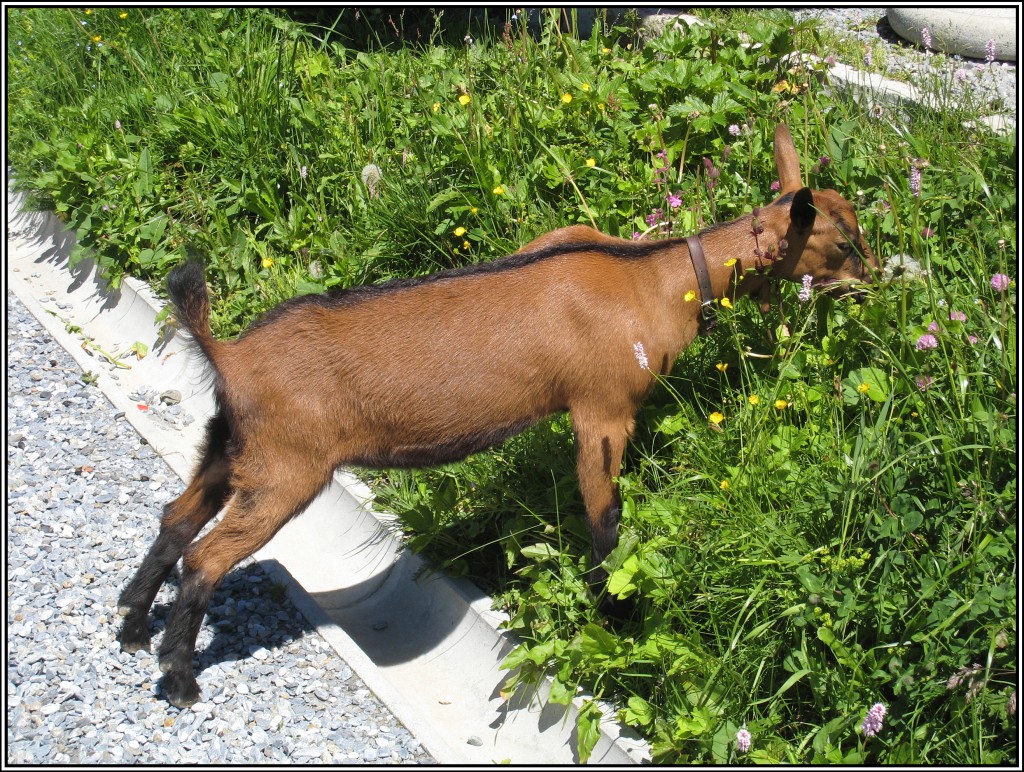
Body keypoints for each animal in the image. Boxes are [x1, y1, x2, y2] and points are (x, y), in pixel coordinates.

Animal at [117, 124, 872, 704]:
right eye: (842, 244)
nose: (879, 280)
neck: (654, 281)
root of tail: (231, 355)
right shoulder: (602, 409)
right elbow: (605, 523)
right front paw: (615, 622)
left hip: (229, 444)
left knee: (176, 518)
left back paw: (131, 627)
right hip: (286, 467)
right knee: (206, 556)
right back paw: (179, 680)